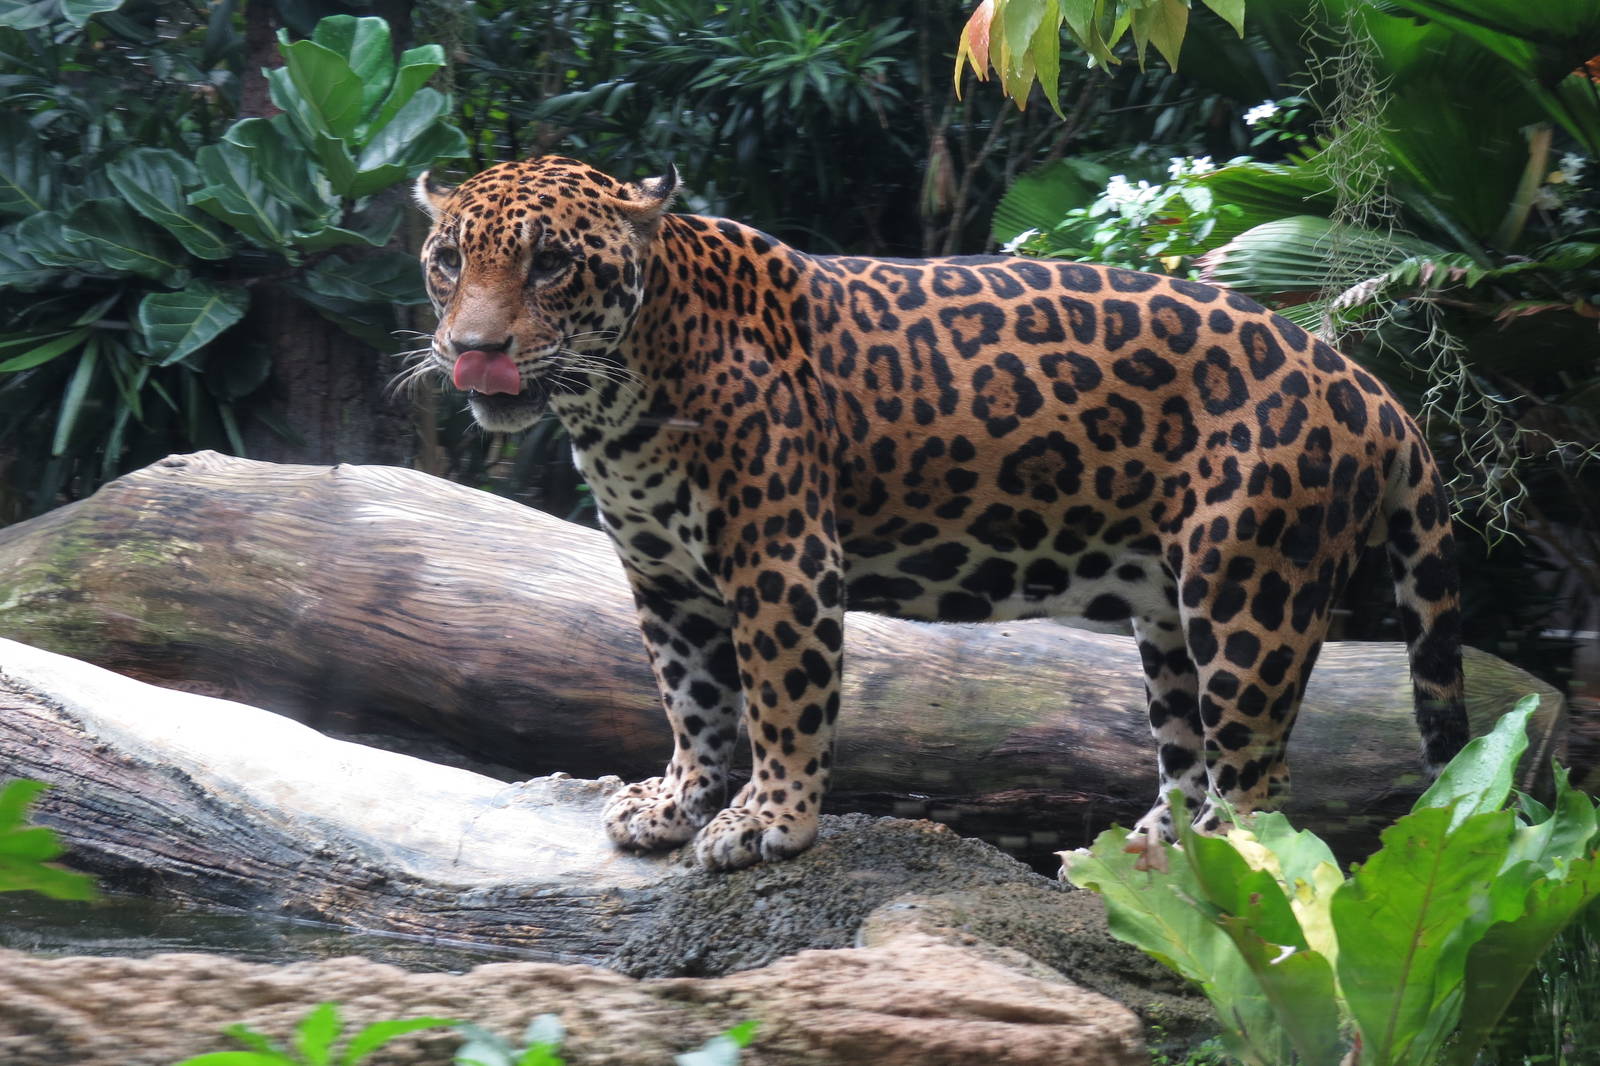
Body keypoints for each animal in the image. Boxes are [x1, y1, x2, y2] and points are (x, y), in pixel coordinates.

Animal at [413, 155, 1468, 871]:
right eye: (447, 261)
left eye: (553, 265)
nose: (472, 350)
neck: (617, 395)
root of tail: (1373, 389)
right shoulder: (663, 579)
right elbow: (693, 701)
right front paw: (676, 805)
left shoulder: (781, 563)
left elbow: (781, 700)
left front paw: (768, 823)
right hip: (1168, 613)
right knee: (1189, 755)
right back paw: (1151, 868)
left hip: (1250, 591)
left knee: (1260, 782)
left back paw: (1232, 887)